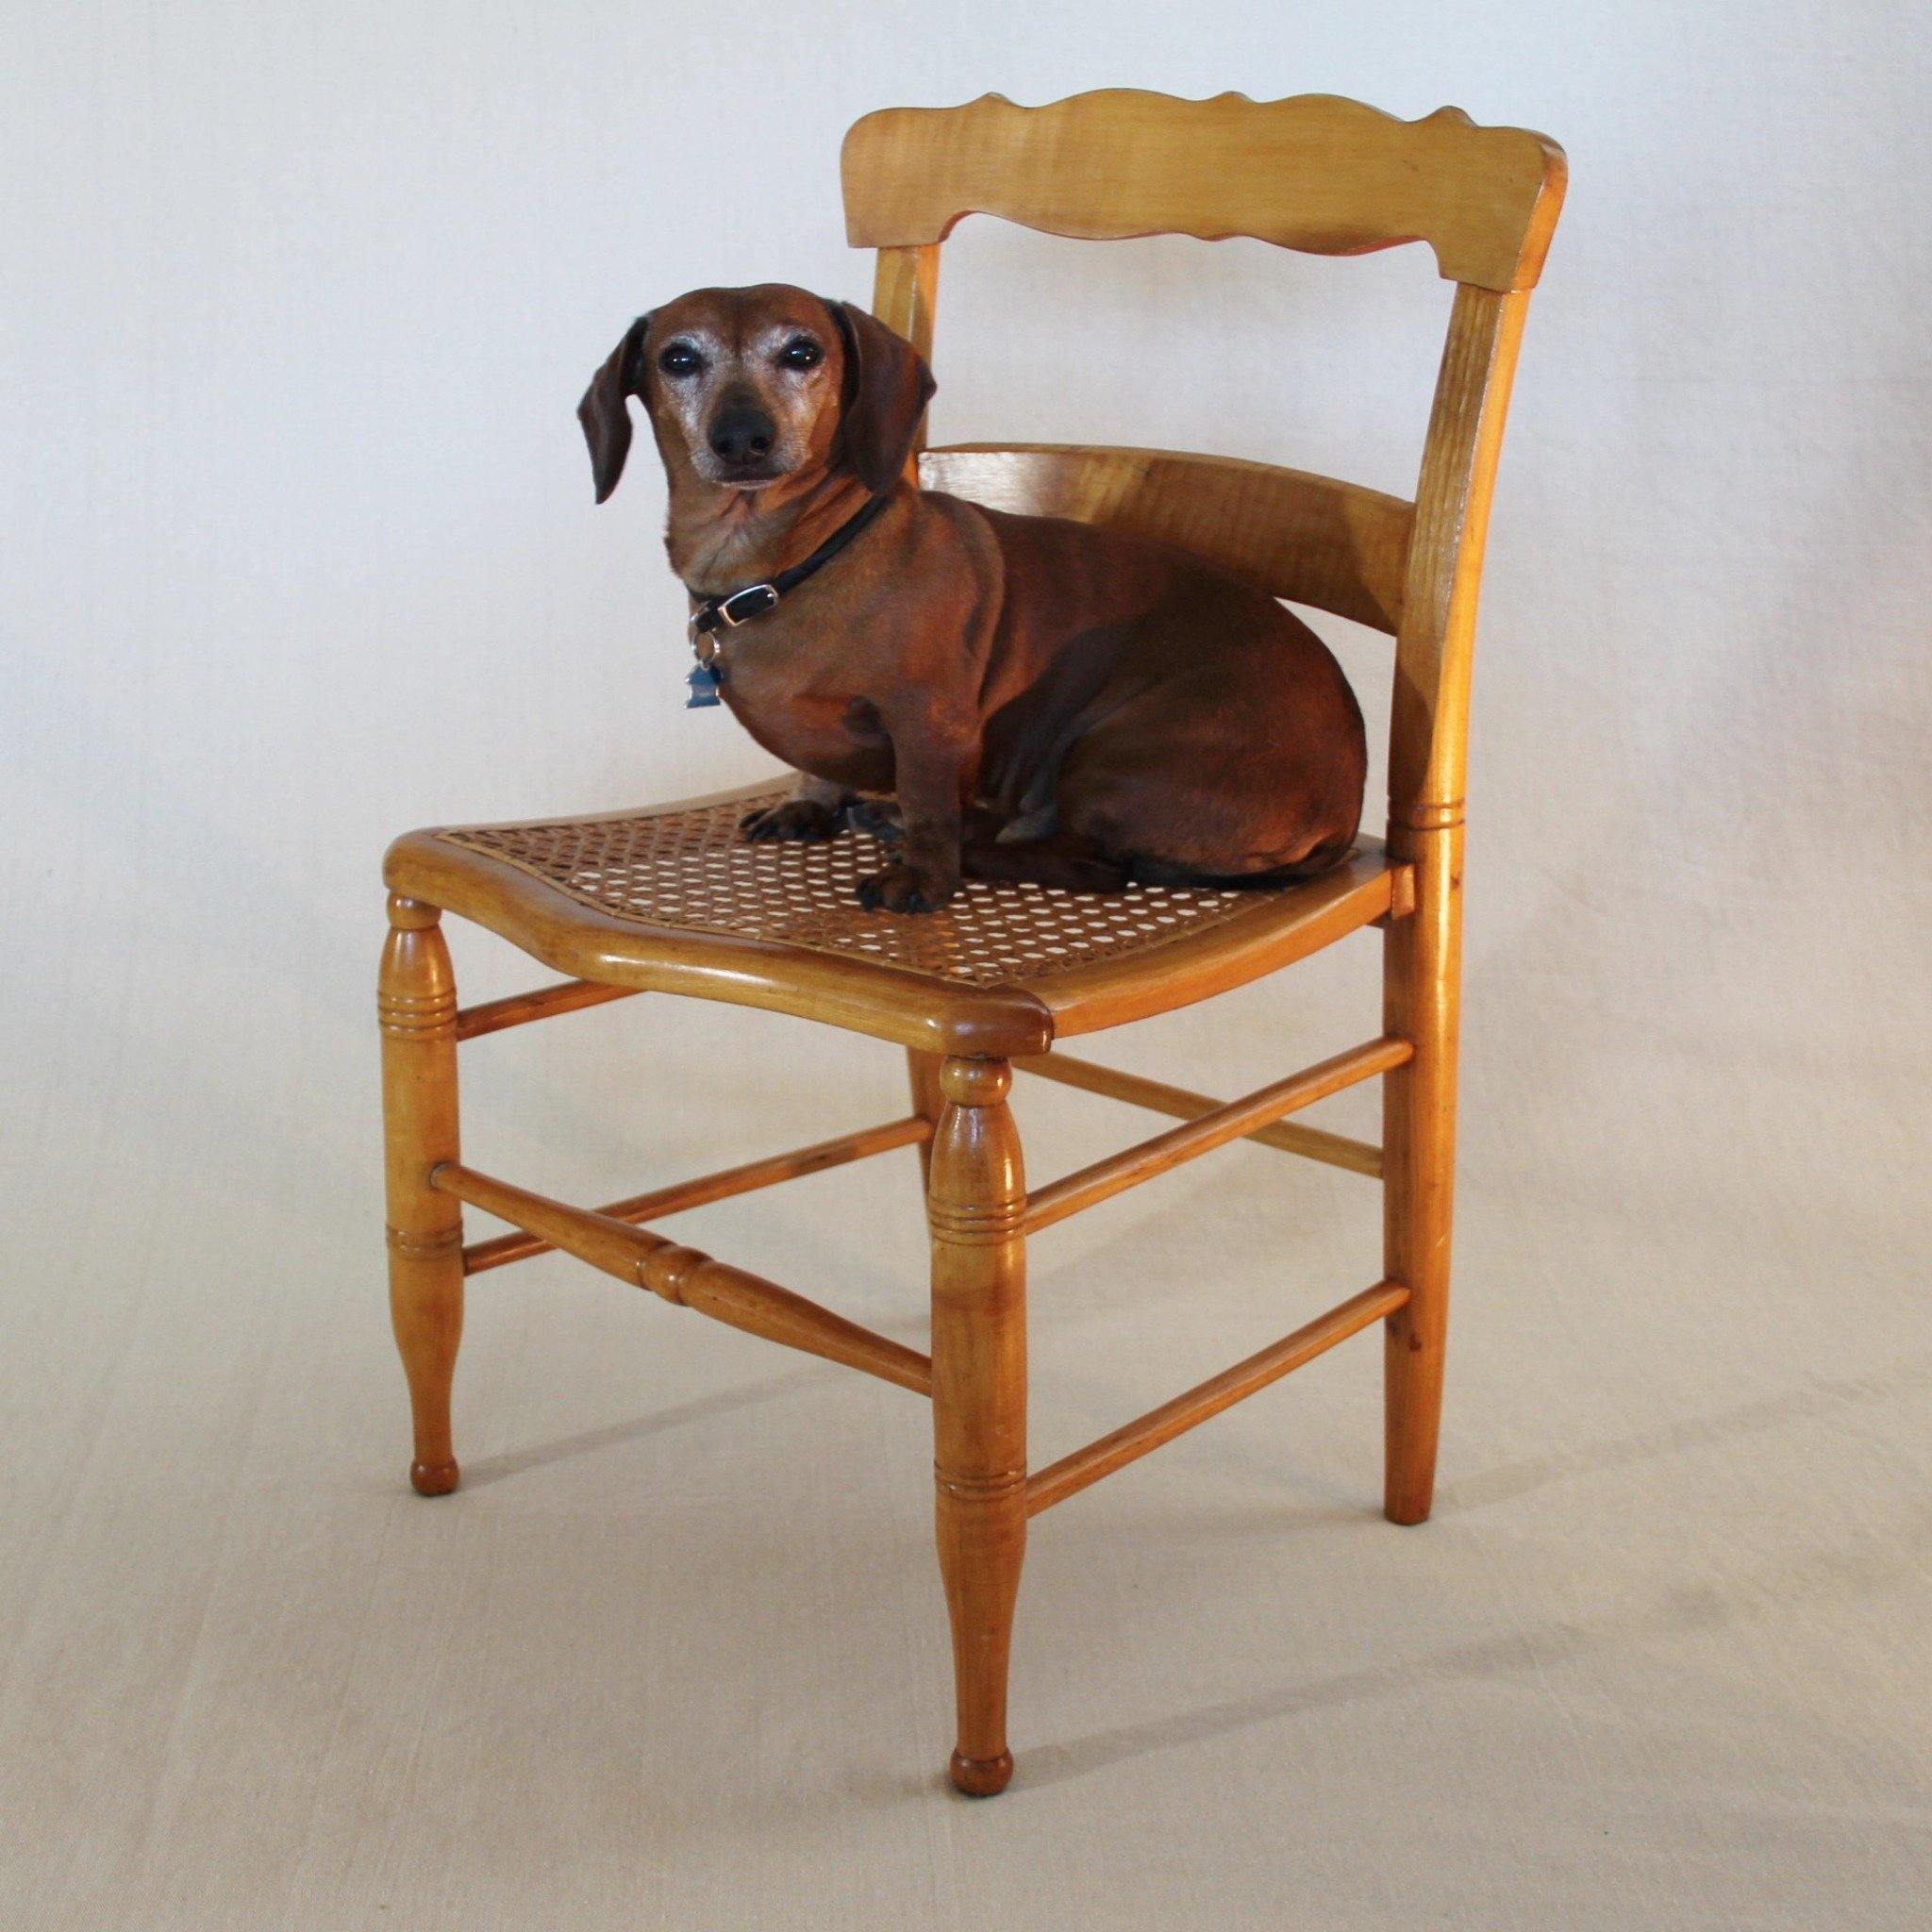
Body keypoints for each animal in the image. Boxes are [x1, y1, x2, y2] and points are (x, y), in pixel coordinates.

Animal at [579, 284, 1367, 911]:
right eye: (679, 359)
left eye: (802, 352)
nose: (743, 437)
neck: (787, 566)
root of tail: (1346, 811)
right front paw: (812, 802)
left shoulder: (931, 722)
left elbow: (932, 805)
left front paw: (922, 878)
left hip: (1116, 757)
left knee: (1094, 866)